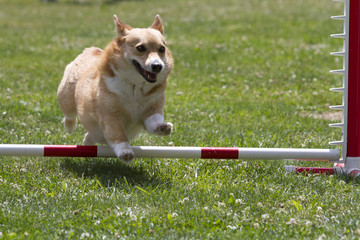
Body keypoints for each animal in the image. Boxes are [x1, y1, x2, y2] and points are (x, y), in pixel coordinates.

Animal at [57, 15, 174, 163]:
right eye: (141, 48)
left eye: (162, 49)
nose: (158, 66)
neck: (136, 87)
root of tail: (91, 50)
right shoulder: (111, 117)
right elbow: (118, 135)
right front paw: (125, 152)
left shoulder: (151, 110)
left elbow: (154, 121)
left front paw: (163, 127)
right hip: (66, 96)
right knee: (69, 114)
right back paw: (70, 127)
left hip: (96, 132)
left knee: (90, 136)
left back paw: (87, 145)